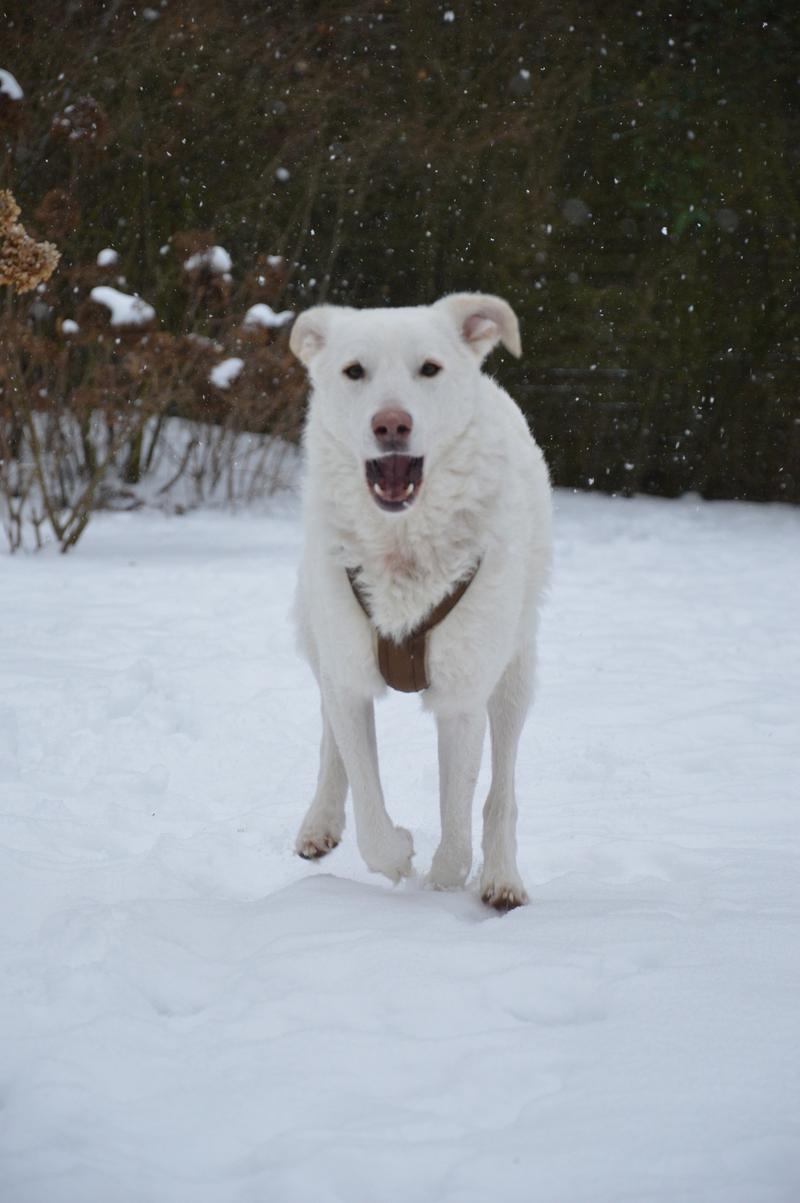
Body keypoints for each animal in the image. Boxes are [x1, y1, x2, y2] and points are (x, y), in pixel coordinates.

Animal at [289, 293, 553, 909]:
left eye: (429, 369)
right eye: (354, 371)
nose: (391, 424)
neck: (403, 547)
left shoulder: (462, 695)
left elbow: (458, 820)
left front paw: (443, 883)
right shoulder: (347, 672)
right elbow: (369, 813)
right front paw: (399, 853)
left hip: (514, 671)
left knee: (501, 790)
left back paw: (501, 877)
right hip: (318, 640)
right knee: (330, 738)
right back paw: (320, 822)